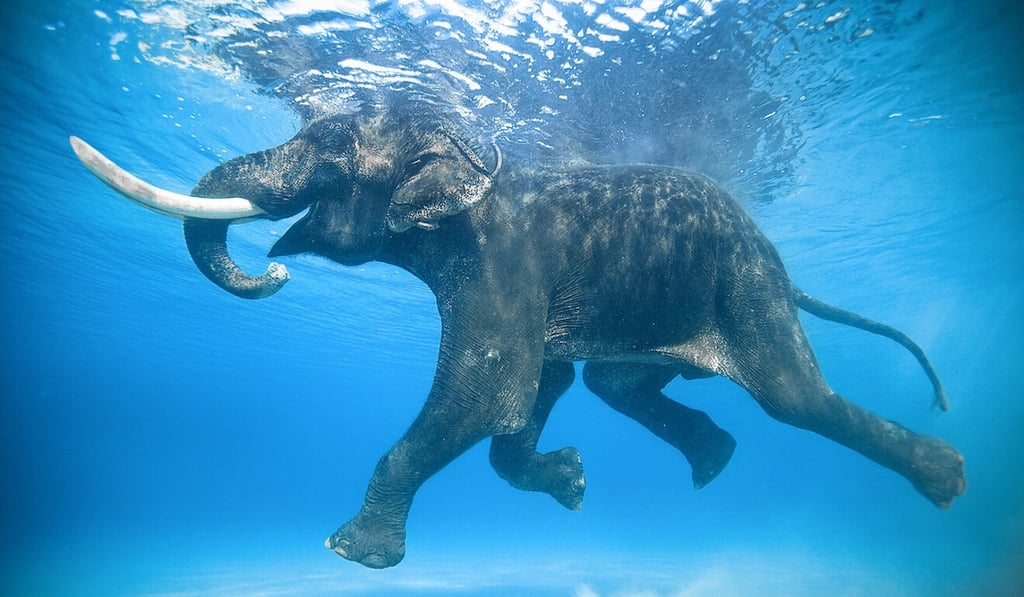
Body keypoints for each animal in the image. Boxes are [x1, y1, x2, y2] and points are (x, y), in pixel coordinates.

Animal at [71, 97, 966, 569]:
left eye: (327, 151)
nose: (275, 272)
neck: (472, 156)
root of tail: (785, 268)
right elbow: (537, 388)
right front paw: (571, 481)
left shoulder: (499, 269)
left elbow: (483, 392)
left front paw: (349, 552)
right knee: (615, 384)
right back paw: (713, 463)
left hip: (747, 289)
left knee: (797, 399)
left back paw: (946, 480)